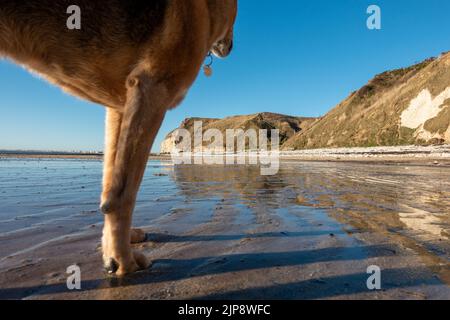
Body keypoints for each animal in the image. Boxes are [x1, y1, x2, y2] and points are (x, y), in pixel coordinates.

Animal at [0, 0, 237, 276]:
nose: (231, 47)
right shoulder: (151, 88)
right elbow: (124, 193)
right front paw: (121, 260)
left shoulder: (119, 107)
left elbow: (109, 184)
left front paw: (112, 248)